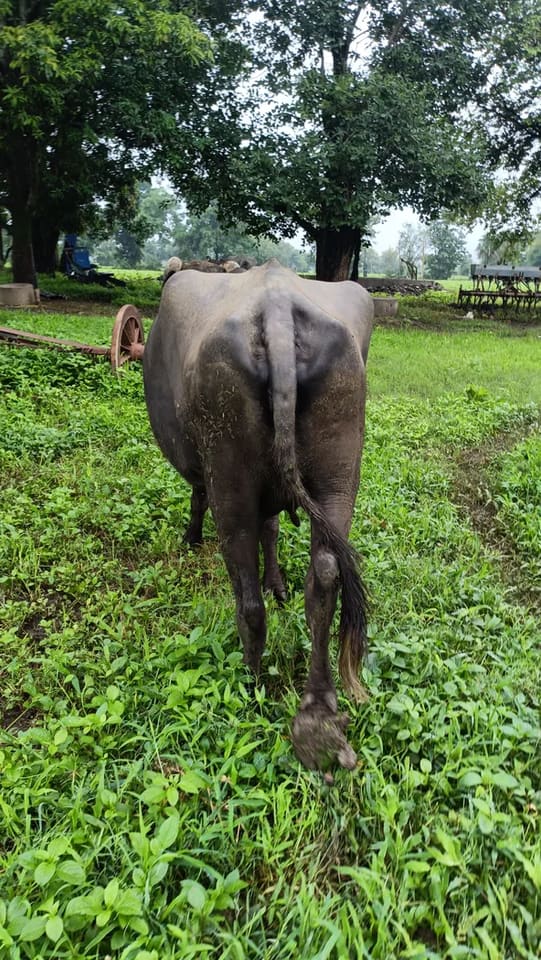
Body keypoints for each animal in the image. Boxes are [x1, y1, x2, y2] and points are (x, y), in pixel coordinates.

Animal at [143, 259, 373, 771]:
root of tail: (277, 312)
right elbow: (273, 531)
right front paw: (278, 582)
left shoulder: (204, 472)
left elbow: (199, 499)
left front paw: (191, 537)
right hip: (339, 471)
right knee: (324, 574)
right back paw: (319, 713)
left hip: (228, 475)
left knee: (246, 595)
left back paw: (250, 682)